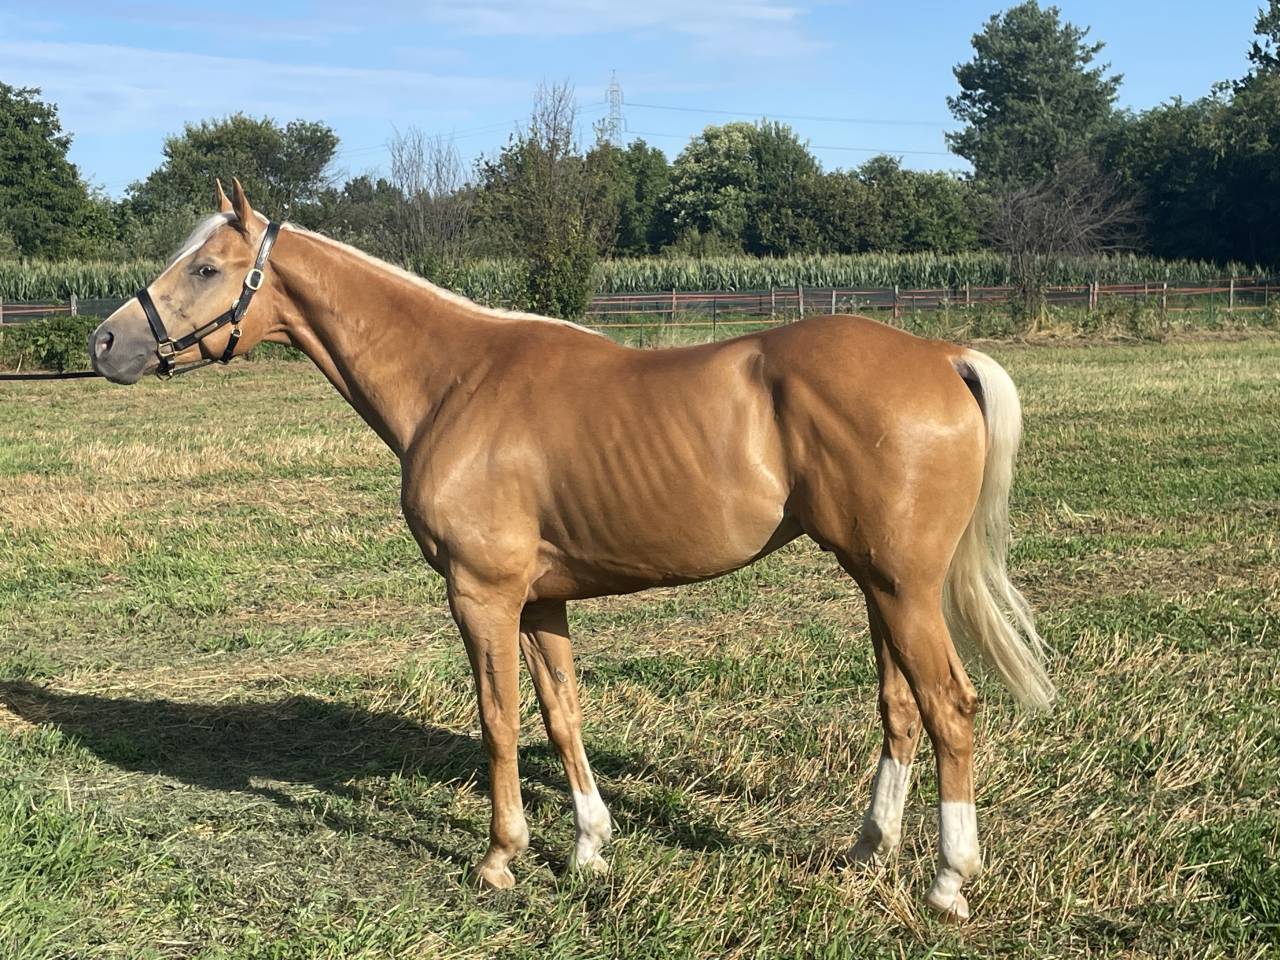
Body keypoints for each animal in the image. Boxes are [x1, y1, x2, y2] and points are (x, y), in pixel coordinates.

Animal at [89, 179, 1053, 920]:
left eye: (205, 267)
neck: (454, 382)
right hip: (878, 583)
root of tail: (943, 354)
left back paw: (947, 882)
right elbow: (562, 715)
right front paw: (590, 846)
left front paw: (499, 858)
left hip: (902, 586)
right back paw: (866, 852)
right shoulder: (542, 600)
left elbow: (499, 722)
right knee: (900, 709)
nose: (106, 342)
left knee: (950, 707)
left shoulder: (482, 595)